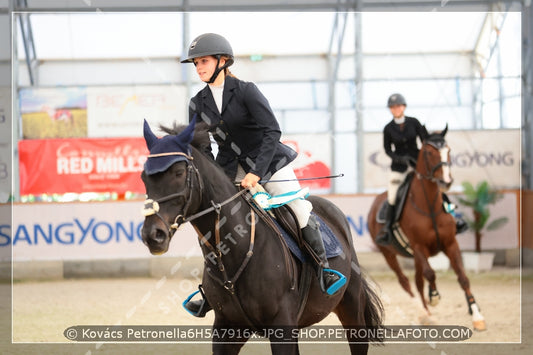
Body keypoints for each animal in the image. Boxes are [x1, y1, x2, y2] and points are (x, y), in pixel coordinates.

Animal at [141, 121, 382, 354]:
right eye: (144, 177)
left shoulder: (281, 327)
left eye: (179, 172)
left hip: (351, 310)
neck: (233, 253)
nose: (152, 235)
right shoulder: (227, 329)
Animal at [366, 126, 486, 332]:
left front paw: (477, 316)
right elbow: (430, 273)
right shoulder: (419, 246)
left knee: (418, 280)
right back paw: (423, 312)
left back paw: (426, 313)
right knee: (405, 281)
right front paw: (435, 297)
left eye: (448, 150)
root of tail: (375, 202)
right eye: (429, 152)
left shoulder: (450, 244)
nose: (446, 181)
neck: (429, 206)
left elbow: (462, 278)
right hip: (388, 253)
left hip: (414, 256)